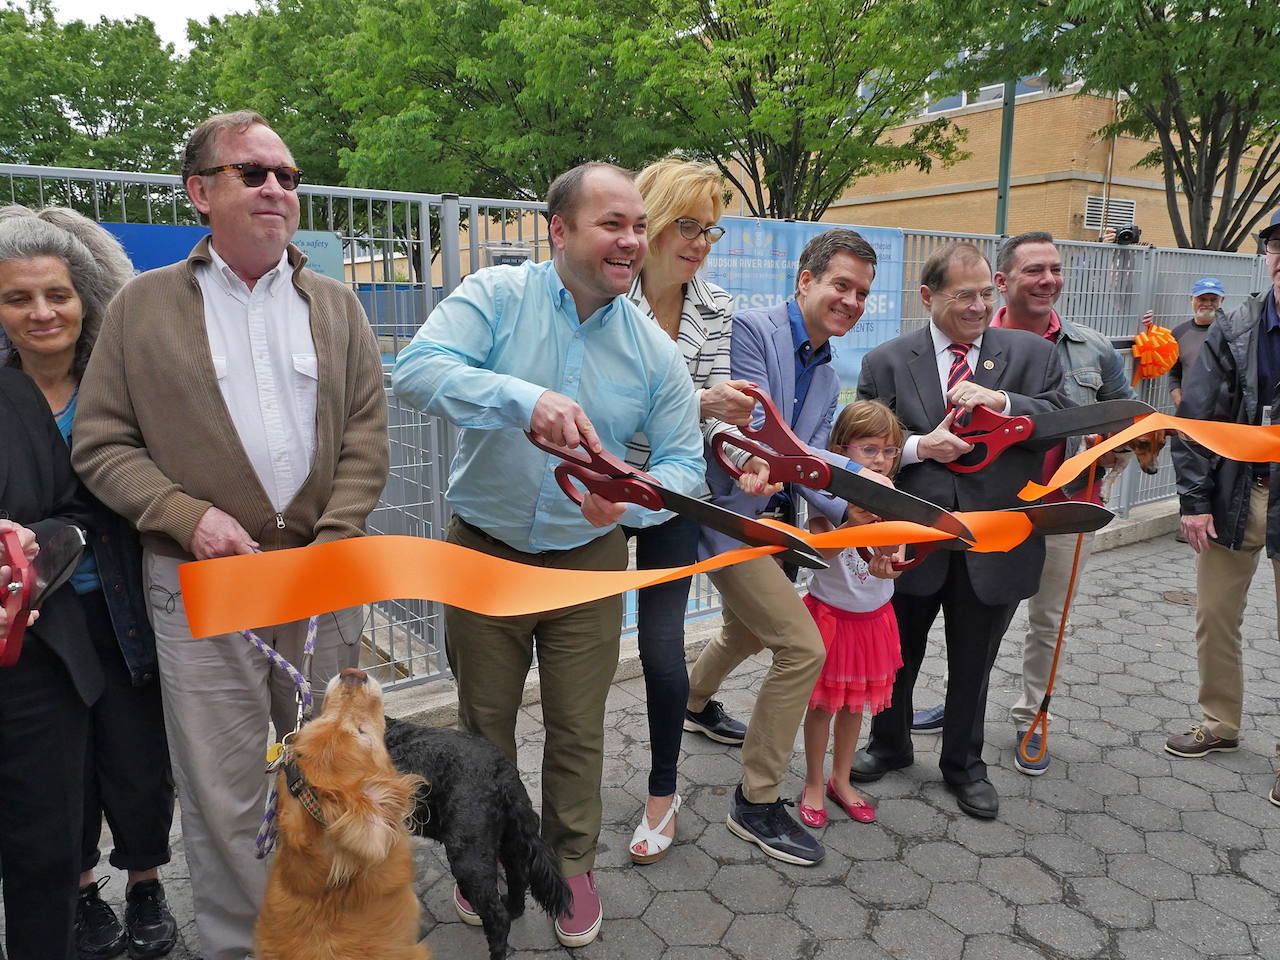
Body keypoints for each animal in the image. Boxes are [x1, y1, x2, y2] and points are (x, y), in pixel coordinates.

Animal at [381, 716, 573, 957]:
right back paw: (513, 907)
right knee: (518, 877)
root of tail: (504, 775)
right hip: (509, 839)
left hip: (468, 858)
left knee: (497, 918)